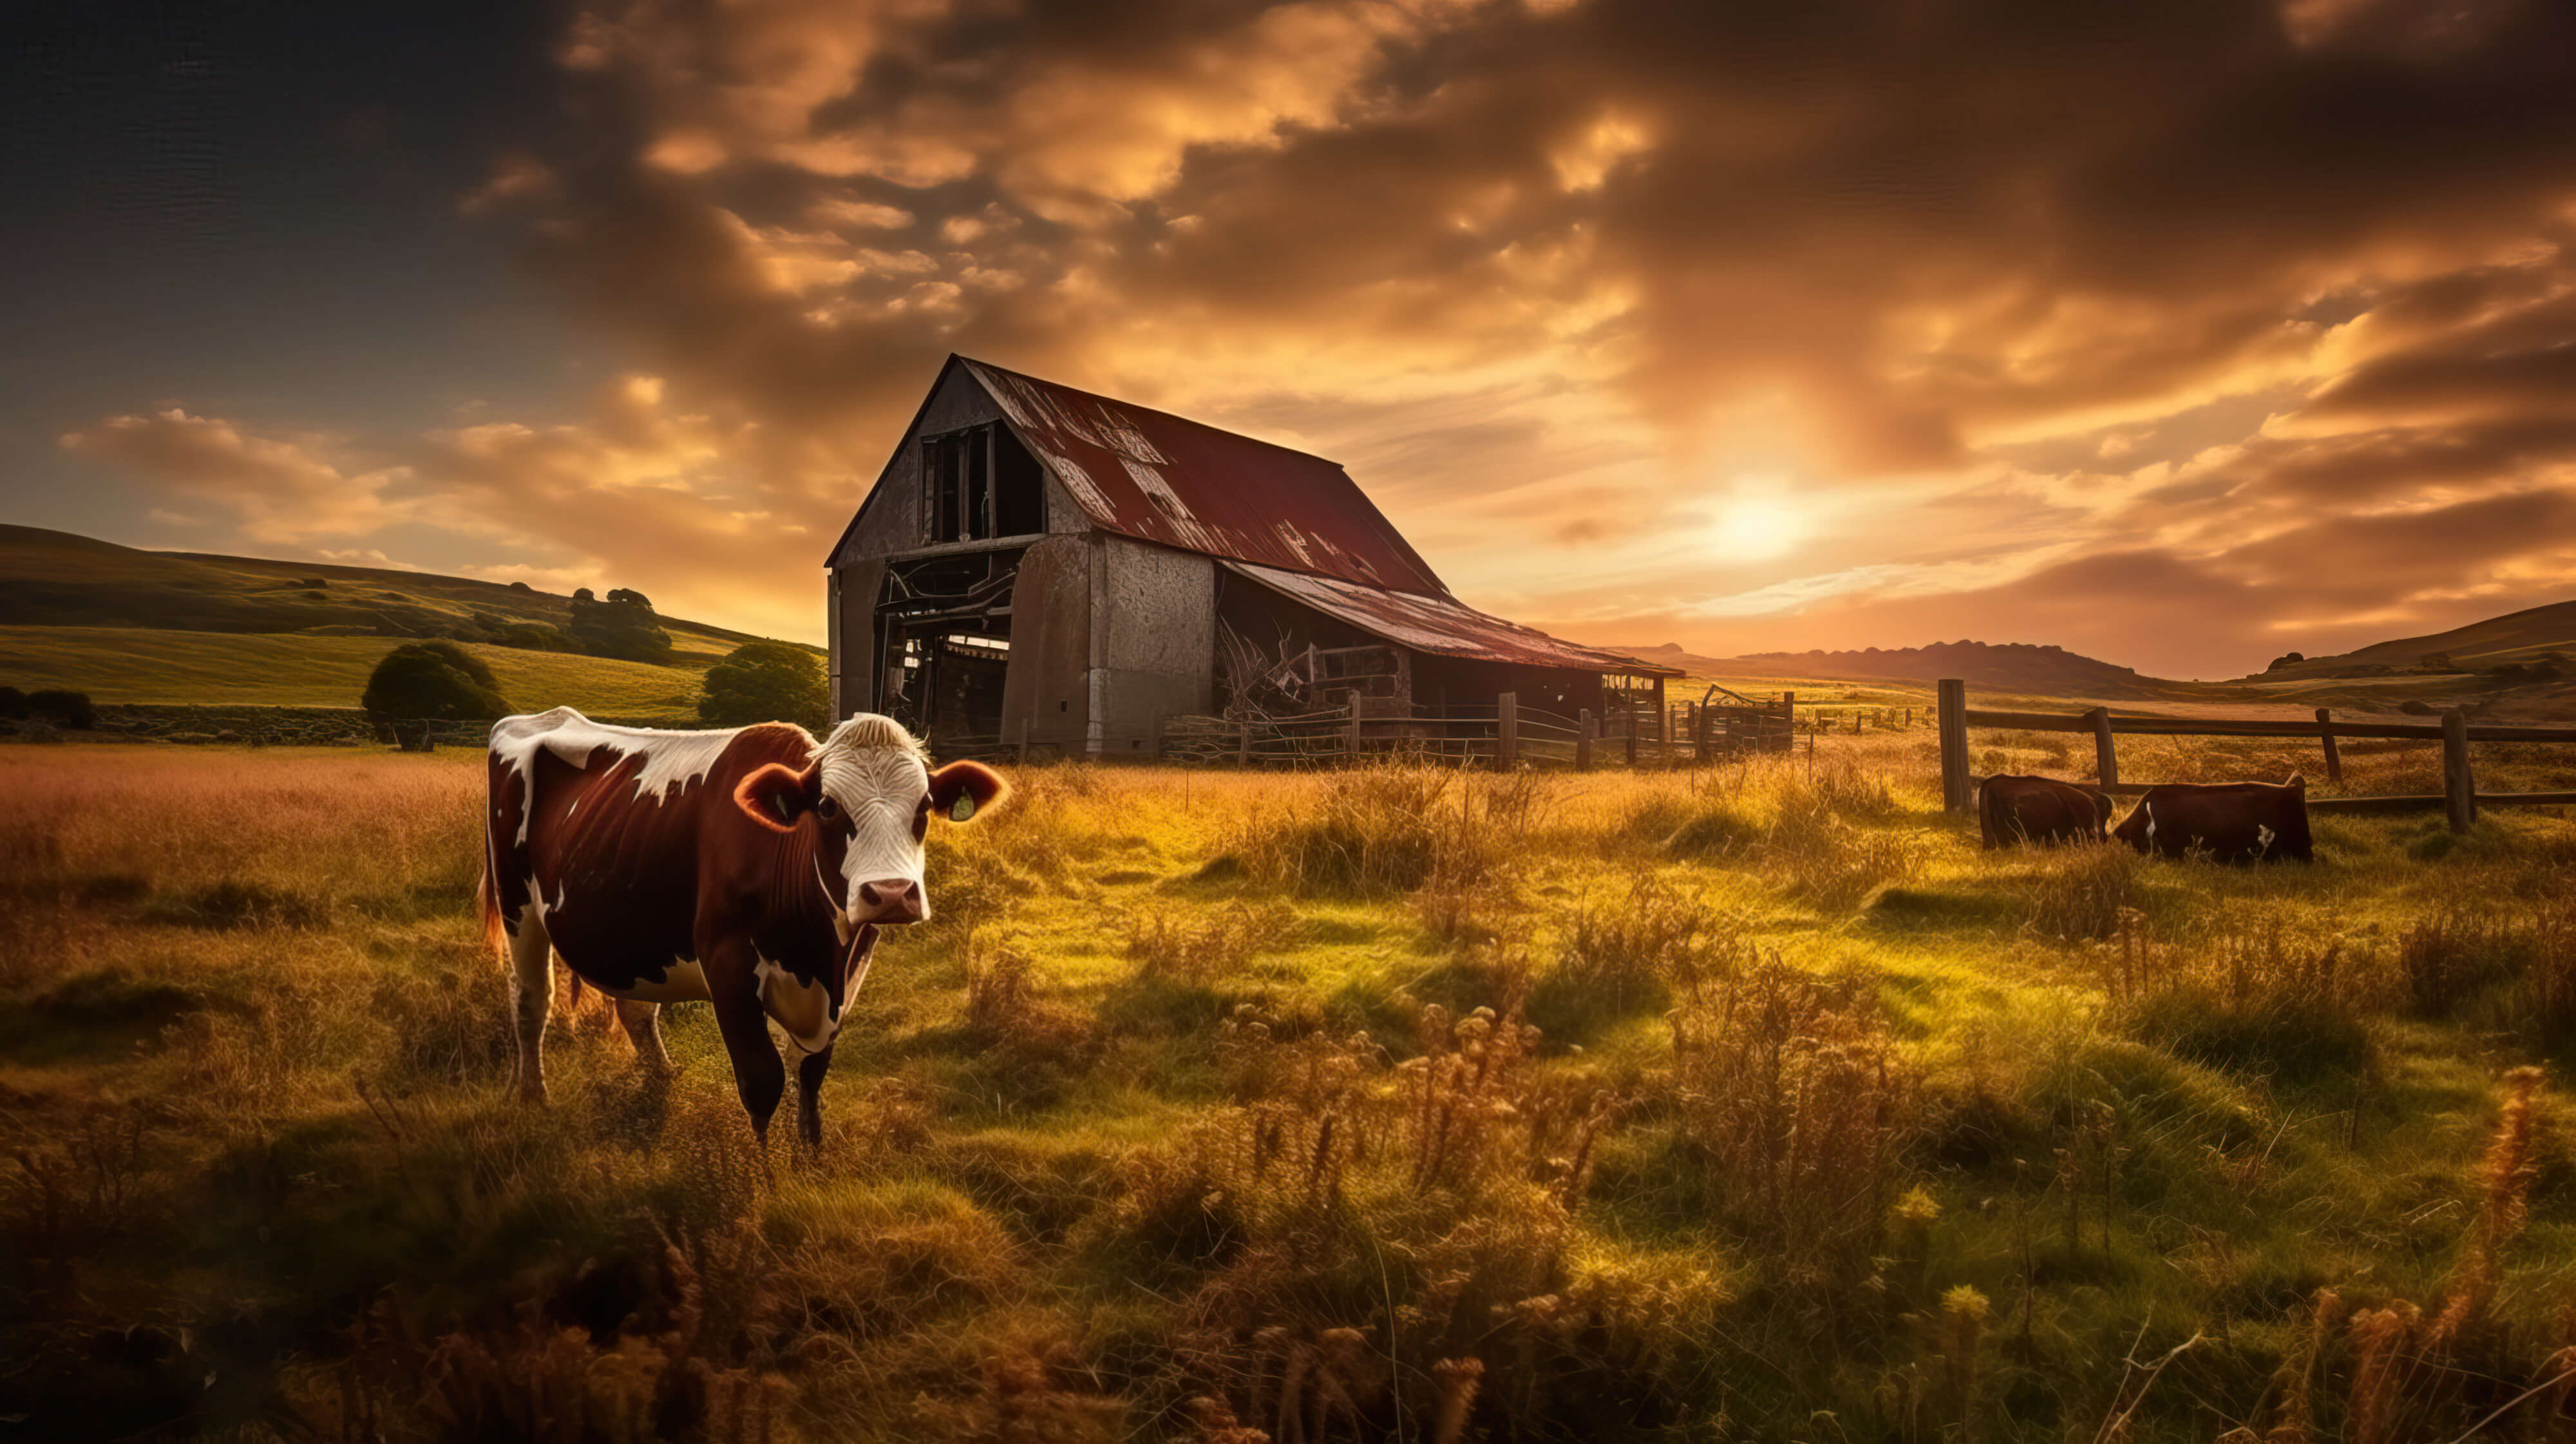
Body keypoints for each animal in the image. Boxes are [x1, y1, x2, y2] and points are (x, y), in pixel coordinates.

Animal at [476, 707, 1006, 1145]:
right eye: (829, 807)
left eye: (924, 806)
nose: (892, 893)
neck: (819, 957)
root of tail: (541, 716)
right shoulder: (727, 966)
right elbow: (763, 1081)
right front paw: (764, 1180)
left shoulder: (850, 973)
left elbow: (810, 1080)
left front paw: (808, 1162)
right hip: (517, 904)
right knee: (531, 1000)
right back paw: (533, 1096)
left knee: (636, 1009)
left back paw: (661, 1079)